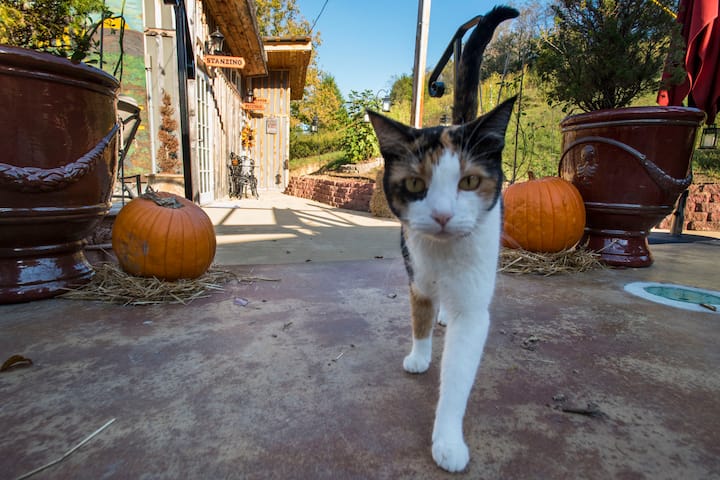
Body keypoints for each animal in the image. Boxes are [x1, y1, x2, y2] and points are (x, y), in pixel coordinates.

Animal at [367, 6, 519, 473]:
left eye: (468, 181)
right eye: (416, 184)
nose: (442, 214)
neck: (445, 253)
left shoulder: (475, 302)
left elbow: (458, 374)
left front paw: (448, 441)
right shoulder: (416, 270)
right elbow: (419, 314)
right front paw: (419, 355)